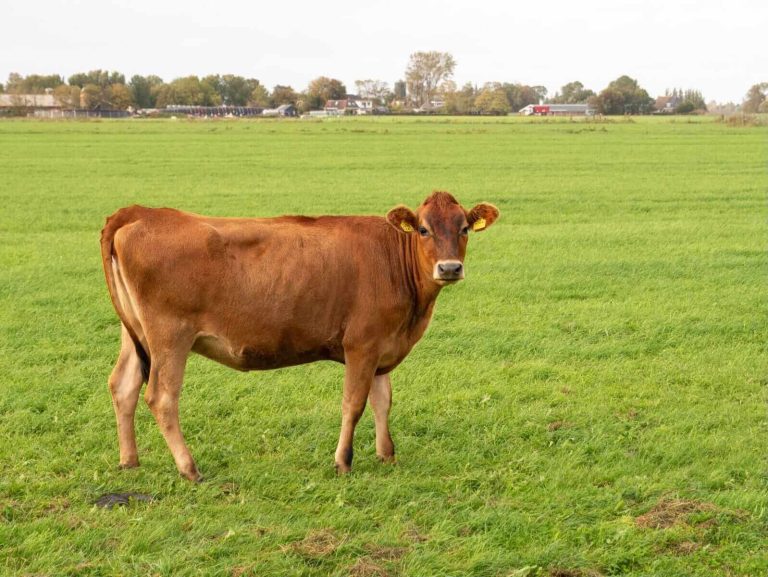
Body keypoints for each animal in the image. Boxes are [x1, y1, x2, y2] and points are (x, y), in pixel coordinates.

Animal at [100, 191, 499, 481]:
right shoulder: (362, 344)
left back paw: (129, 460)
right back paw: (189, 468)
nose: (450, 268)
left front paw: (387, 454)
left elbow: (382, 401)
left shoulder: (383, 347)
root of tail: (141, 212)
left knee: (124, 385)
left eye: (464, 228)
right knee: (162, 396)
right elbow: (354, 403)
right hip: (170, 336)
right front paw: (343, 461)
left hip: (134, 334)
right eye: (423, 230)